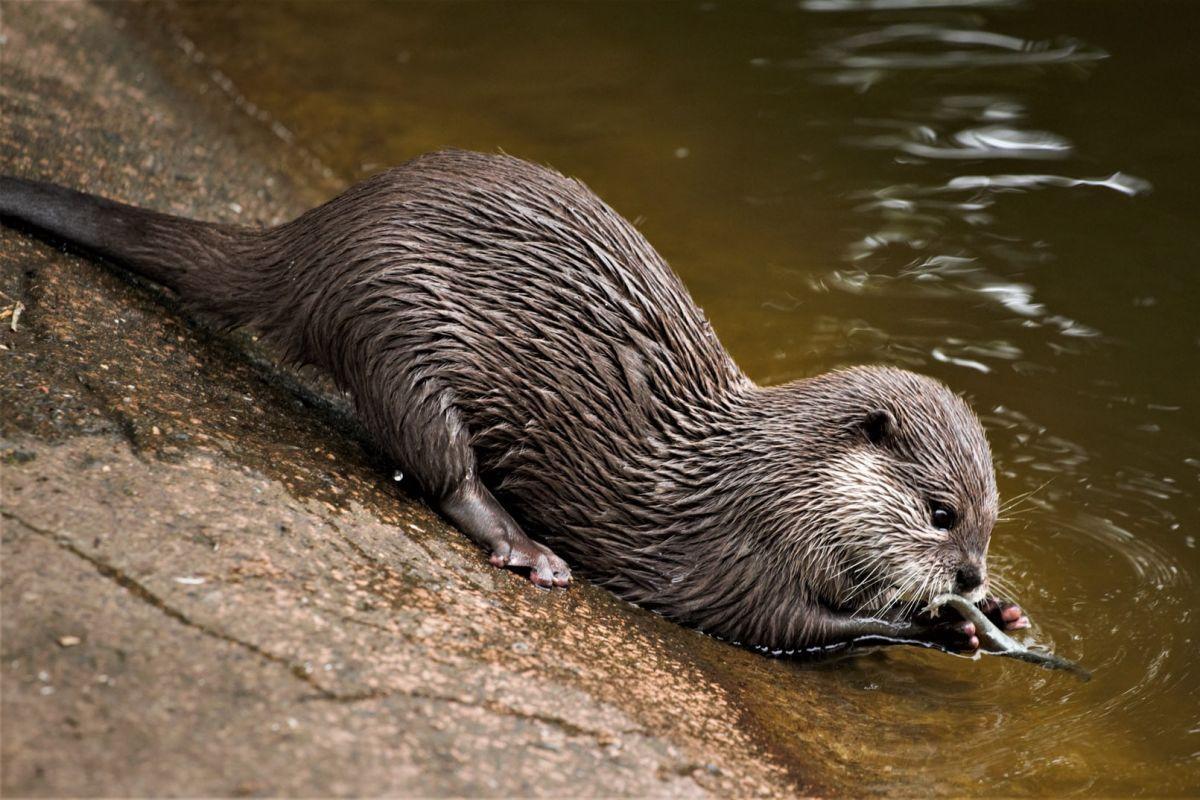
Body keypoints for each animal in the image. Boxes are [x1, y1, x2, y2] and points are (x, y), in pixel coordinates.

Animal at [2, 151, 1032, 657]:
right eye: (940, 514)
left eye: (987, 519)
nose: (973, 573)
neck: (774, 481)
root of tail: (312, 241)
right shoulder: (742, 556)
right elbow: (788, 628)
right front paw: (932, 625)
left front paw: (999, 612)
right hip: (402, 333)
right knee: (441, 468)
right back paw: (525, 548)